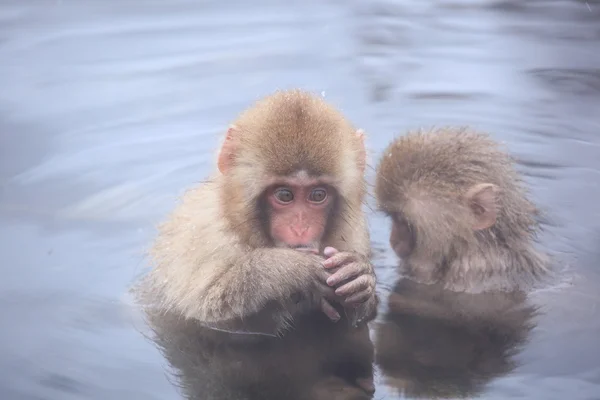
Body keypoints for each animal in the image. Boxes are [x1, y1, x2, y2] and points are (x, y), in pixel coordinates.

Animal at [138, 89, 378, 398]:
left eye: (318, 195)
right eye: (285, 195)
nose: (300, 227)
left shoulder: (352, 233)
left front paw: (360, 278)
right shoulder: (200, 236)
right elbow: (208, 318)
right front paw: (287, 270)